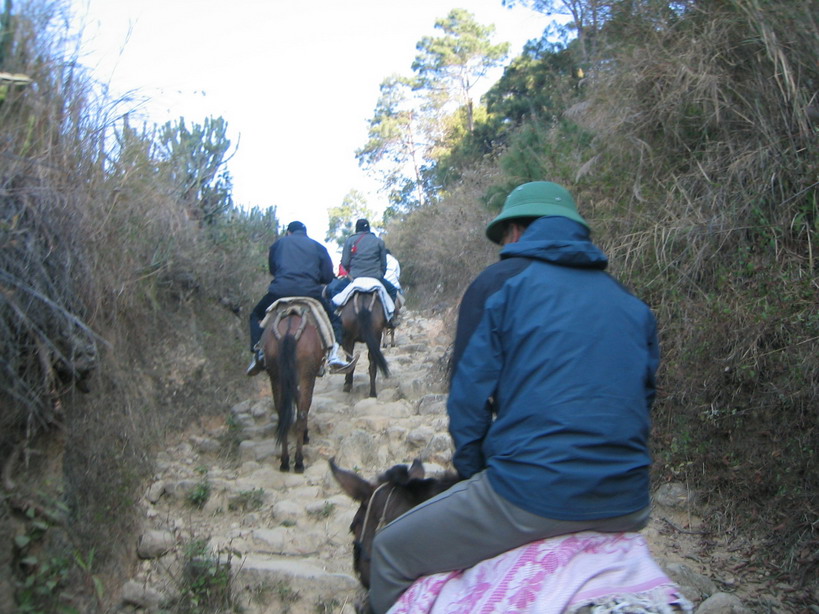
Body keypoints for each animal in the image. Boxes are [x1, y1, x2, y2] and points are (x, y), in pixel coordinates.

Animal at [262, 300, 326, 474]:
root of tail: (288, 332)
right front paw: (305, 436)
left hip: (276, 378)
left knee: (282, 412)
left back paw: (284, 462)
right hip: (305, 377)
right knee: (302, 412)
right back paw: (298, 462)